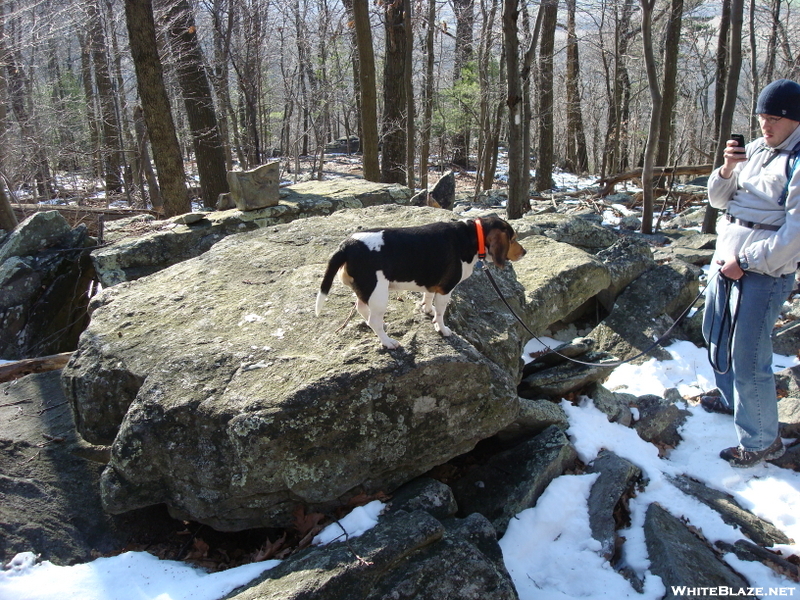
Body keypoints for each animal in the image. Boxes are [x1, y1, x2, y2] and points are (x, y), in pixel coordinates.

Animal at [316, 216, 528, 346]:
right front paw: (442, 328)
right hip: (379, 294)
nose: (525, 252)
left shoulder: (432, 284)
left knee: (363, 309)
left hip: (369, 291)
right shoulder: (446, 290)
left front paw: (427, 310)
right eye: (513, 238)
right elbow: (441, 313)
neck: (471, 234)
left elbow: (427, 297)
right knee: (373, 320)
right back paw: (387, 342)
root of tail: (347, 245)